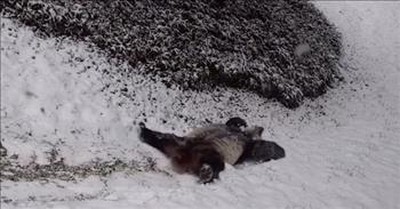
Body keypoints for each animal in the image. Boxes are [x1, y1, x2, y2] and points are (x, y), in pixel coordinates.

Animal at [139, 117, 286, 183]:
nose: (261, 128)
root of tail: (183, 156)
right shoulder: (241, 136)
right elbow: (231, 123)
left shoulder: (246, 148)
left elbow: (259, 149)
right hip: (184, 142)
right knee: (164, 138)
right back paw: (144, 131)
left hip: (210, 151)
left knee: (217, 164)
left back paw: (207, 173)